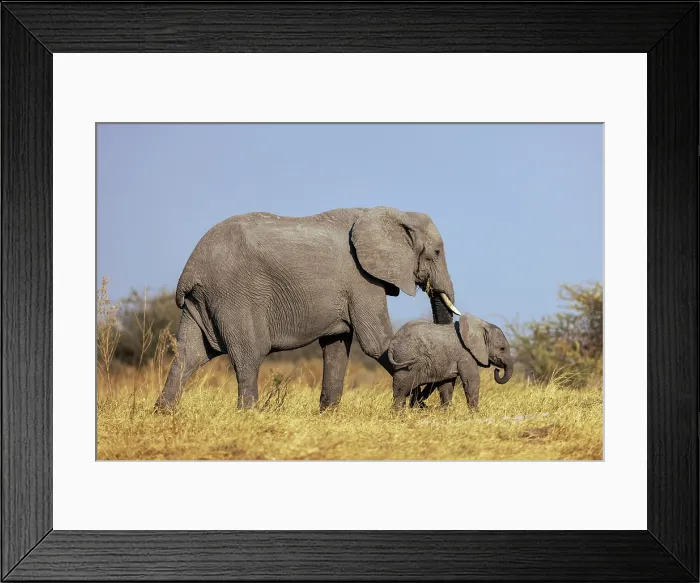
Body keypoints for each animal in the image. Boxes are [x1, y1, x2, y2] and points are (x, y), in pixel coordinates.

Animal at [153, 206, 460, 412]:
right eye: (435, 253)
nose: (436, 406)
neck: (395, 213)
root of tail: (192, 266)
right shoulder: (361, 279)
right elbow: (377, 342)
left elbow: (337, 345)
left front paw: (328, 415)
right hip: (234, 294)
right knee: (249, 356)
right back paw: (249, 414)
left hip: (201, 300)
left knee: (189, 355)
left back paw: (164, 413)